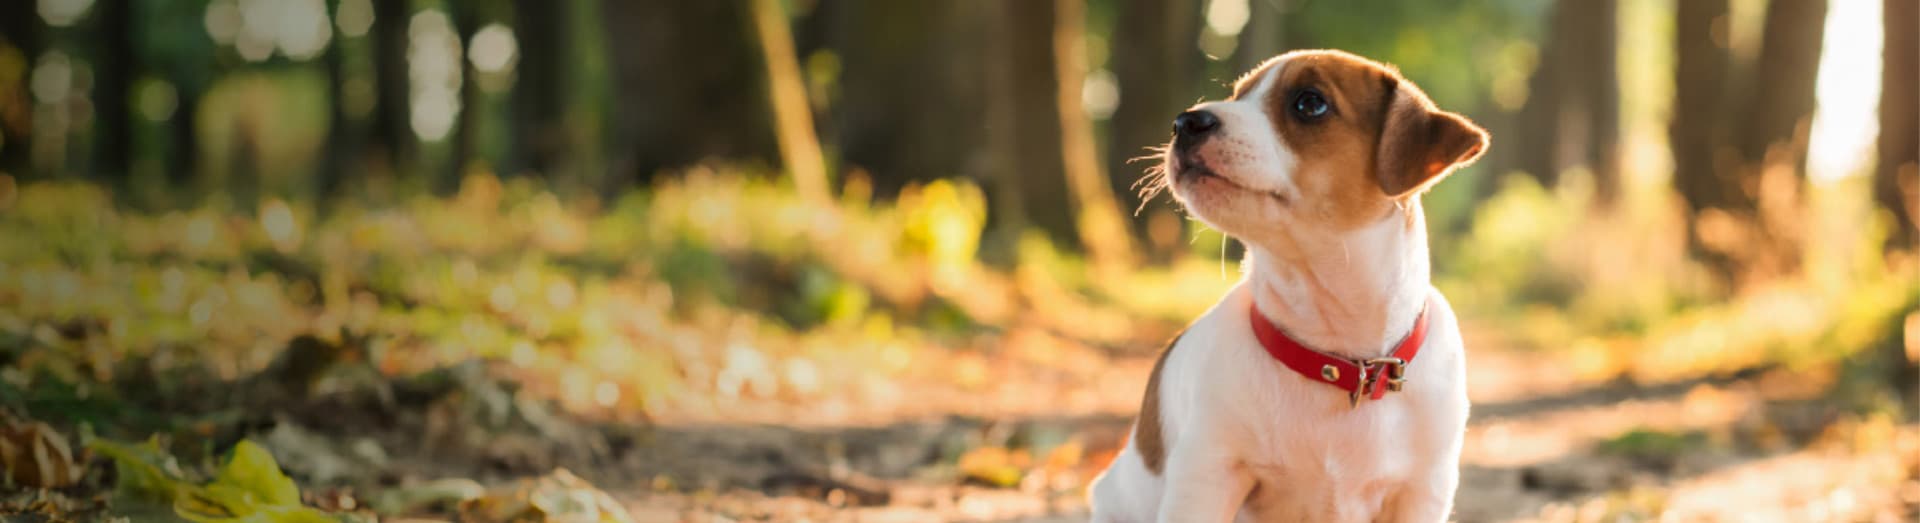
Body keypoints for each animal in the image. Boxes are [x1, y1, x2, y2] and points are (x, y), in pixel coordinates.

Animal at [1090, 49, 1489, 523]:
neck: (1337, 358)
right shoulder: (1206, 476)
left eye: (1310, 103)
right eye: (1236, 95)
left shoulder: (1422, 493)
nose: (1185, 122)